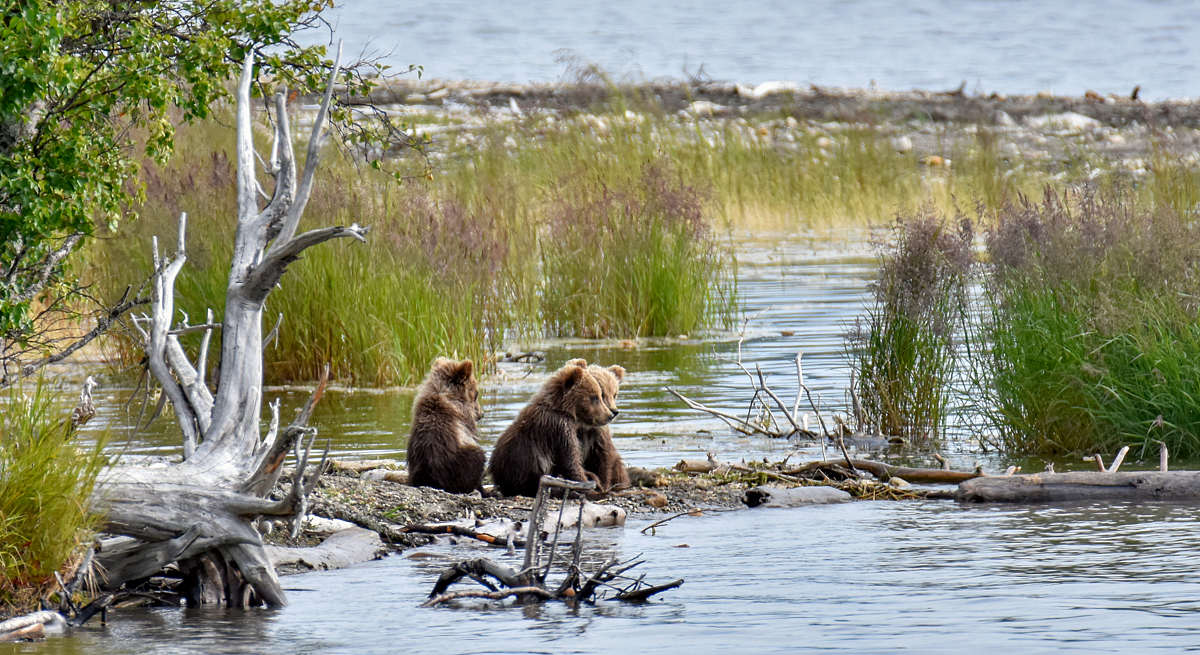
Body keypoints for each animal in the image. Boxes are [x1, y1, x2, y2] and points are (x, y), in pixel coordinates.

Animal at [489, 362, 619, 494]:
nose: (609, 415)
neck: (562, 409)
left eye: (599, 395)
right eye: (595, 397)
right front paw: (588, 485)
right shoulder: (559, 428)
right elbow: (570, 460)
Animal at [566, 357, 633, 489]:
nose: (614, 411)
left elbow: (604, 459)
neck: (584, 425)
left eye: (614, 394)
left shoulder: (598, 435)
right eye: (601, 393)